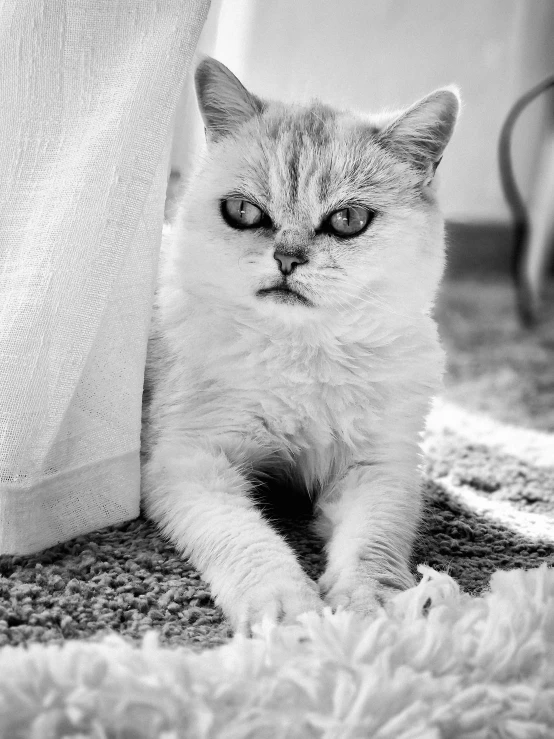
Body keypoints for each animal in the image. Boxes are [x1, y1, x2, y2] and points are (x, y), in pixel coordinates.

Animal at [140, 57, 460, 636]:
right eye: (243, 211)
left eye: (348, 220)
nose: (287, 259)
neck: (304, 354)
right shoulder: (191, 462)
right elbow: (249, 543)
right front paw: (290, 617)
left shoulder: (377, 471)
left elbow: (372, 548)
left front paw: (374, 612)